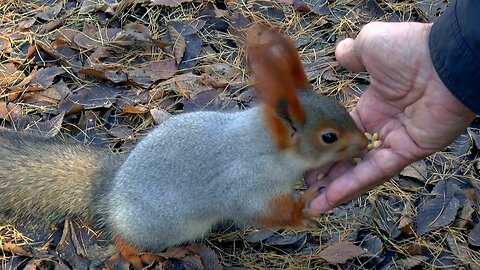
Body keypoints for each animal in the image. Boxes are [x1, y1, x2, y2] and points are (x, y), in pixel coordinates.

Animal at [0, 24, 368, 268]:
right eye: (329, 137)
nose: (365, 144)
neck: (265, 147)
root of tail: (108, 191)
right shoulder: (243, 183)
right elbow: (258, 212)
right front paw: (301, 212)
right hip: (157, 226)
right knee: (121, 239)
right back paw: (139, 253)